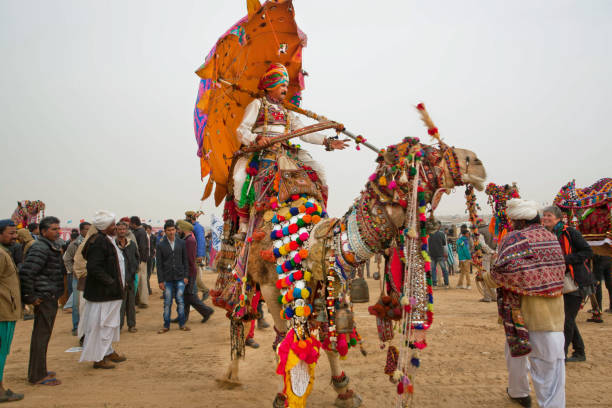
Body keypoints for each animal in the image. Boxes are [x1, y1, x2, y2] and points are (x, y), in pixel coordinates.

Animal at [215, 135, 488, 408]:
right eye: (429, 153)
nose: (477, 163)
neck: (309, 240)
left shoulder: (324, 279)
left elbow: (329, 340)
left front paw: (344, 390)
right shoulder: (271, 285)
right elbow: (285, 339)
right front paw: (285, 395)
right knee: (239, 316)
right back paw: (230, 375)